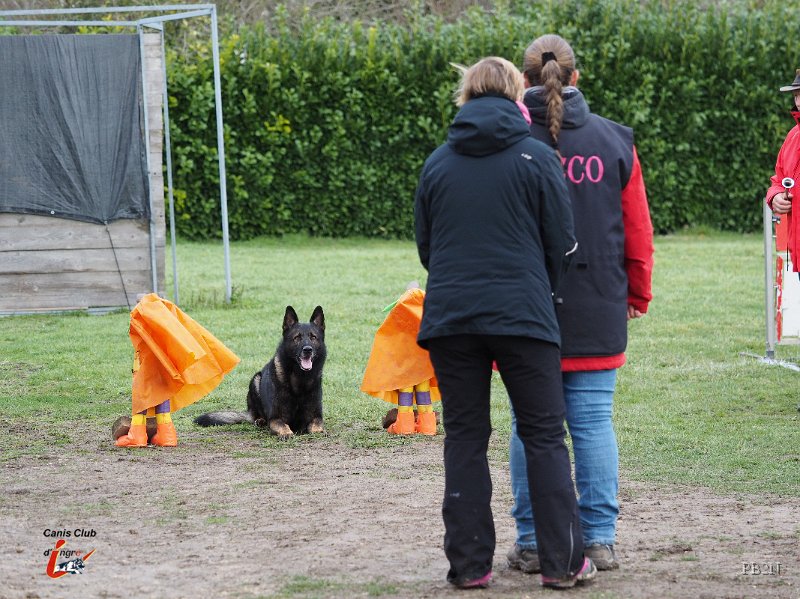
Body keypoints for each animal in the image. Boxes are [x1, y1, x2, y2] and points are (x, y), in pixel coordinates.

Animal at [194, 305, 326, 439]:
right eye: (297, 338)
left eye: (313, 337)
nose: (307, 350)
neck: (300, 379)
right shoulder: (275, 418)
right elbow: (282, 425)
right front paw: (286, 432)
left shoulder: (316, 416)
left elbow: (317, 424)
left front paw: (318, 430)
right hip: (256, 380)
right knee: (256, 416)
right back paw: (260, 420)